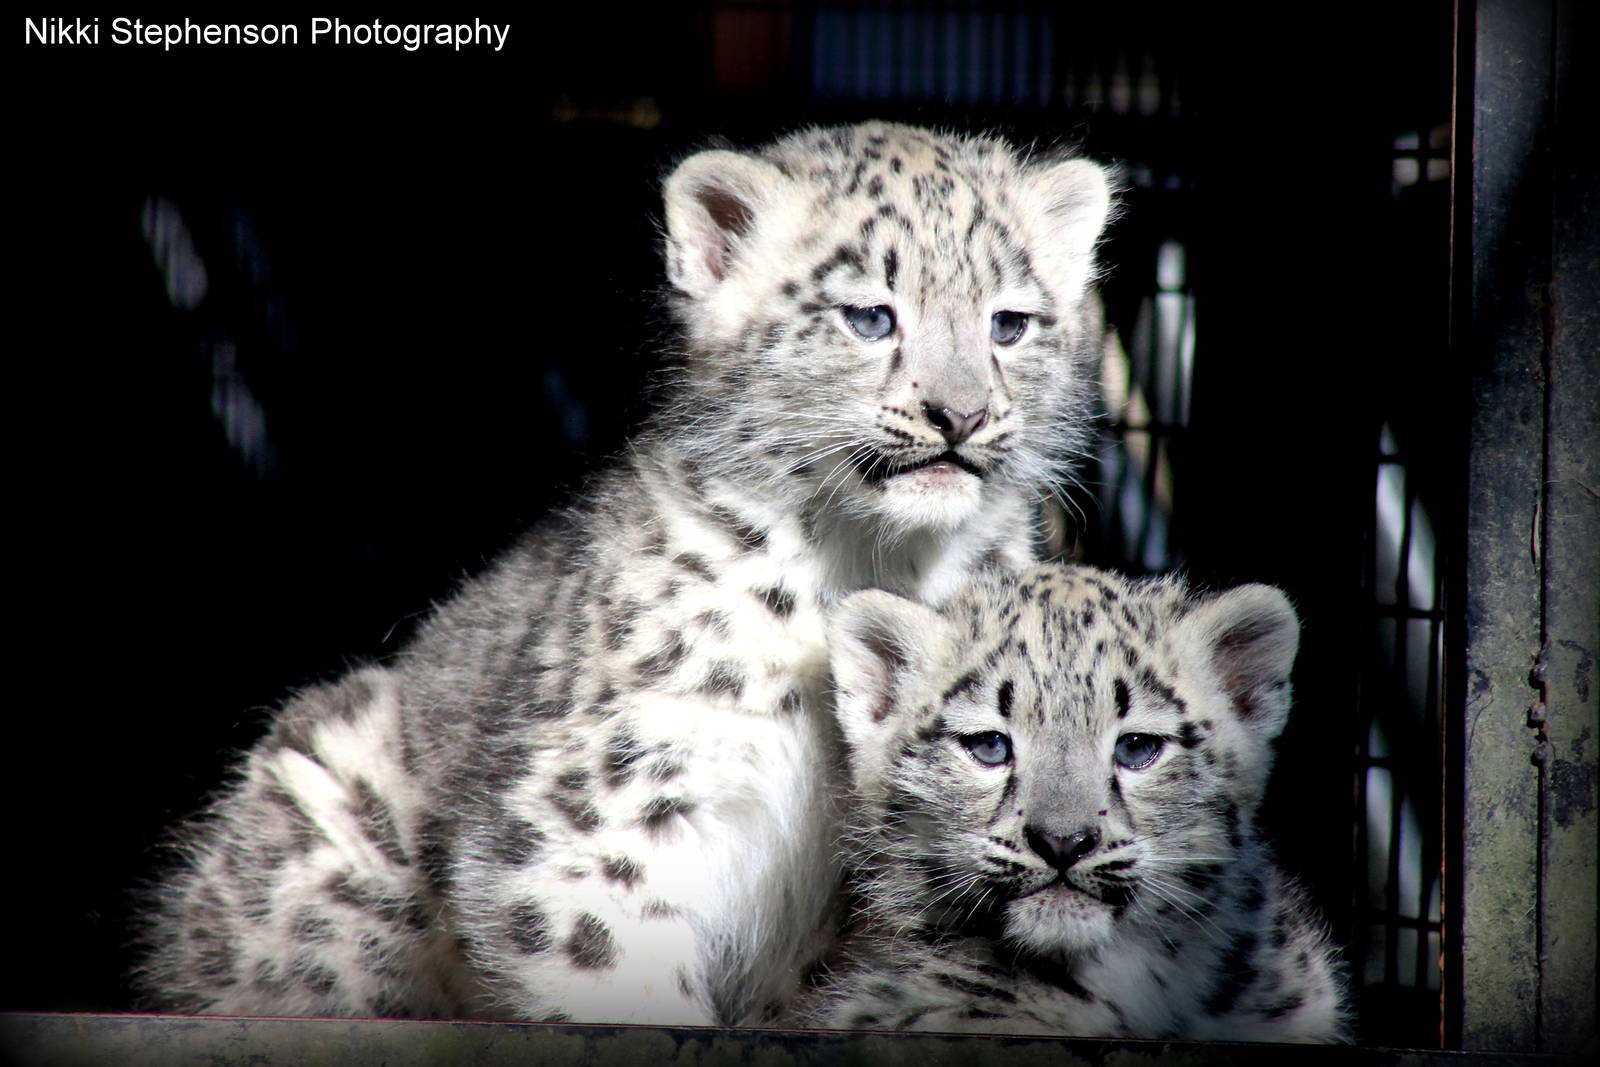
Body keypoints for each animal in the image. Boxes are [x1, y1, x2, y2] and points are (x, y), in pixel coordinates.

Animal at [136, 122, 1114, 1027]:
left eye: (1009, 323)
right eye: (870, 315)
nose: (963, 413)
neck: (870, 560)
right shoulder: (612, 796)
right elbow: (613, 966)